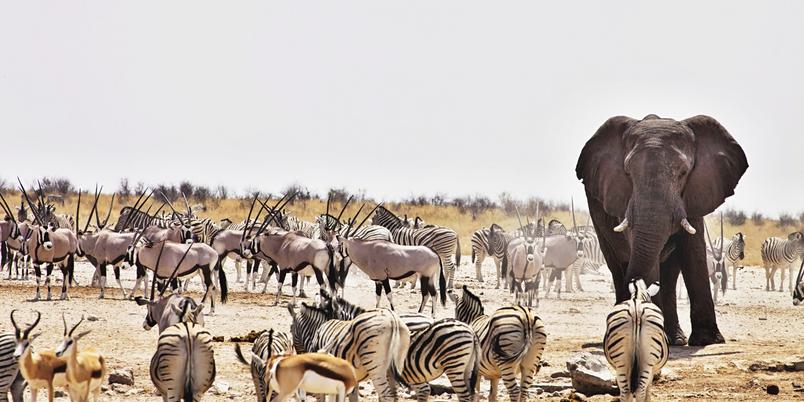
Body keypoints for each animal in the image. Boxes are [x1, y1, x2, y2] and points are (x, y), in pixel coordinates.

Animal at [576, 114, 748, 346]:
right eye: (628, 173)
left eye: (683, 173)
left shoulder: (695, 193)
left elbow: (693, 252)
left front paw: (708, 341)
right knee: (617, 265)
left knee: (669, 273)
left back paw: (675, 339)